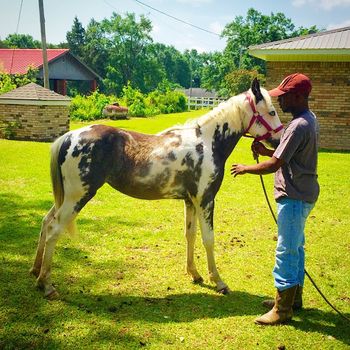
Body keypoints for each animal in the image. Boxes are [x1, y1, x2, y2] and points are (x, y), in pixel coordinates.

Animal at [29, 78, 282, 298]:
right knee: (54, 230)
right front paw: (218, 281)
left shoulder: (190, 201)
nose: (279, 141)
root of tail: (70, 136)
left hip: (66, 198)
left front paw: (195, 274)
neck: (207, 143)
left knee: (45, 222)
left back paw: (35, 270)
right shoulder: (205, 199)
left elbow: (190, 235)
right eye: (272, 112)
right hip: (77, 197)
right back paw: (46, 284)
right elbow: (208, 239)